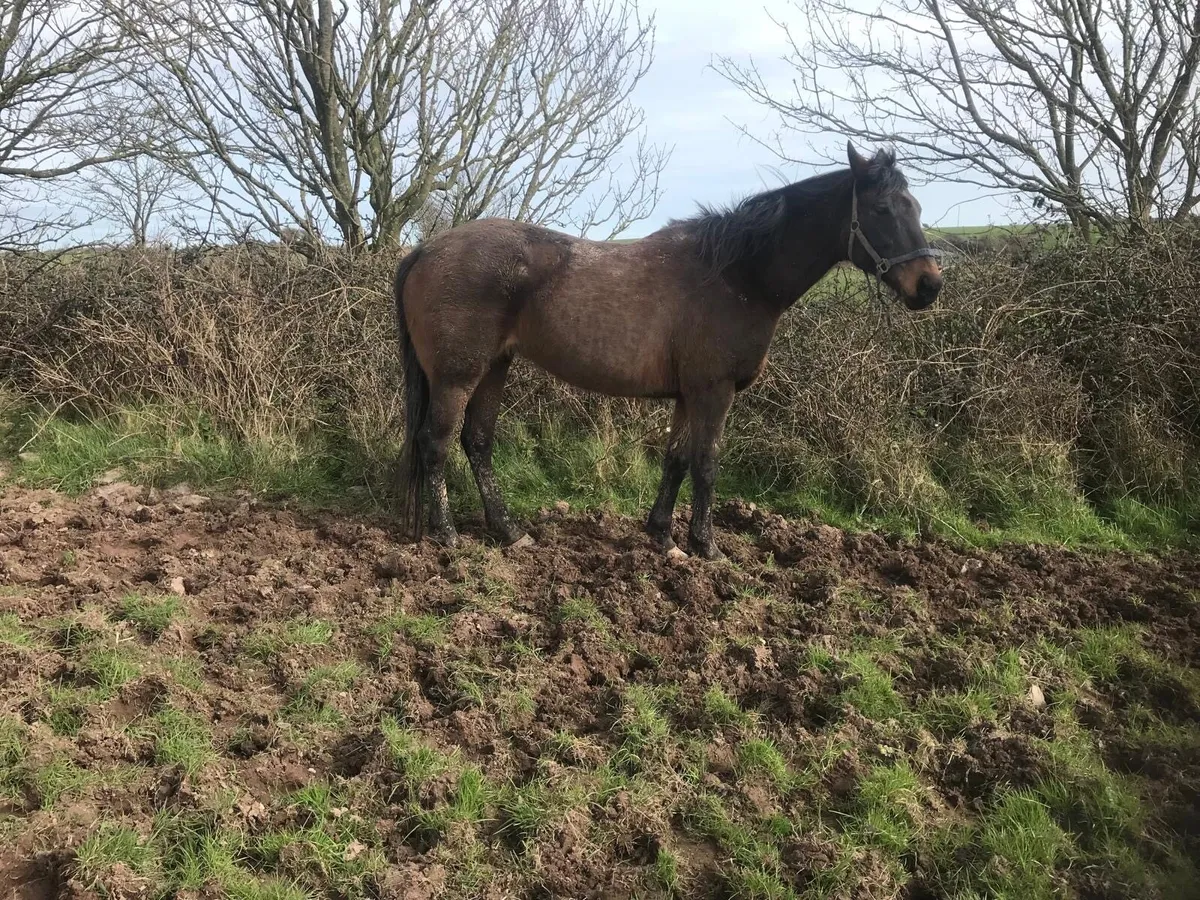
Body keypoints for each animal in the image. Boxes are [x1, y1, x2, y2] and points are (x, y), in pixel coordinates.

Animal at [392, 142, 943, 560]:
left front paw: (662, 535)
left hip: (494, 368)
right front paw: (706, 546)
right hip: (457, 376)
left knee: (477, 443)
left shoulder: (687, 395)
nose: (929, 285)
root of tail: (425, 250)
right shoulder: (714, 391)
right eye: (882, 210)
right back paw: (447, 535)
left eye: (917, 207)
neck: (738, 275)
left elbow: (676, 460)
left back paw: (508, 532)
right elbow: (707, 463)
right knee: (436, 443)